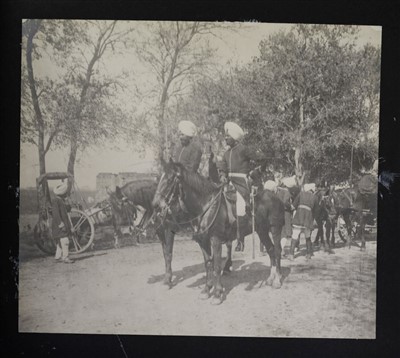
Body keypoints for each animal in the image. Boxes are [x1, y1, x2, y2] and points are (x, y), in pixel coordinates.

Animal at [152, 159, 286, 304]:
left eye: (170, 179)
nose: (155, 204)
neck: (205, 205)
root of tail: (275, 196)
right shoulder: (203, 241)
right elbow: (208, 264)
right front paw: (206, 290)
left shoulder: (215, 240)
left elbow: (216, 266)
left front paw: (217, 293)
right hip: (262, 231)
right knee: (271, 250)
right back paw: (271, 278)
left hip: (275, 228)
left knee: (277, 250)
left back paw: (278, 280)